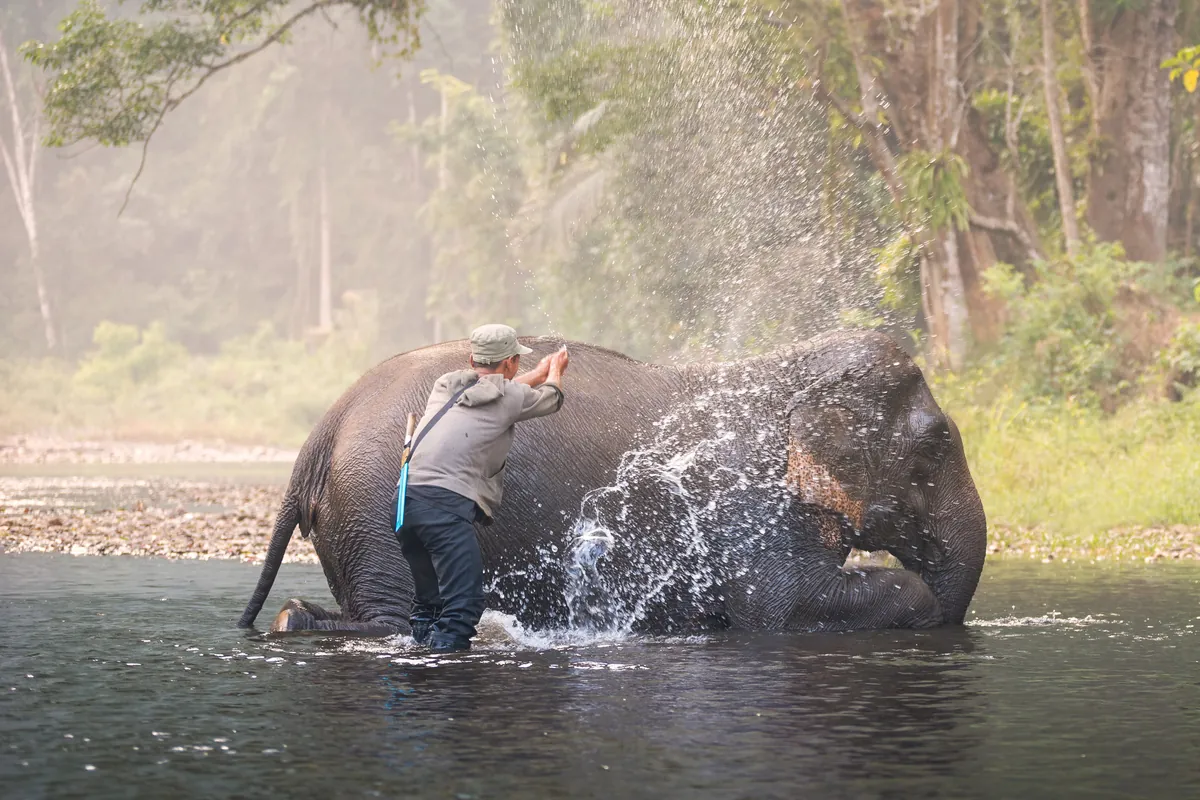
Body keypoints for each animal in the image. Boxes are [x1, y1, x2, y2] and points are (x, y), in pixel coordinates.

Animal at [237, 330, 987, 636]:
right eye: (936, 444)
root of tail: (318, 436)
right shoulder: (751, 502)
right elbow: (782, 608)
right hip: (377, 512)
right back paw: (299, 619)